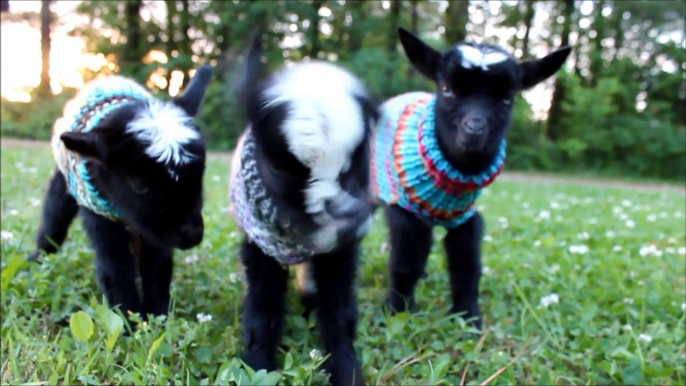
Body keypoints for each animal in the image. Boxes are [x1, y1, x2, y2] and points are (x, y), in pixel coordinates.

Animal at [28, 65, 214, 326]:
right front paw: (129, 321)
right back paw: (38, 258)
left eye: (200, 174)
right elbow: (114, 266)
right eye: (138, 186)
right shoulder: (98, 212)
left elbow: (157, 265)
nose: (193, 235)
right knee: (54, 217)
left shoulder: (152, 230)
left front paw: (158, 318)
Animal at [228, 30, 378, 386]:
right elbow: (263, 308)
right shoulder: (260, 247)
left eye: (357, 161)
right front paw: (256, 366)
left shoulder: (339, 253)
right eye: (281, 169)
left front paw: (346, 368)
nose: (347, 216)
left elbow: (339, 308)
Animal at [374, 27, 572, 328]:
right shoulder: (405, 210)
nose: (474, 129)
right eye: (446, 89)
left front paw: (468, 317)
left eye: (507, 99)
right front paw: (396, 311)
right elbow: (403, 262)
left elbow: (467, 264)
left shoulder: (464, 218)